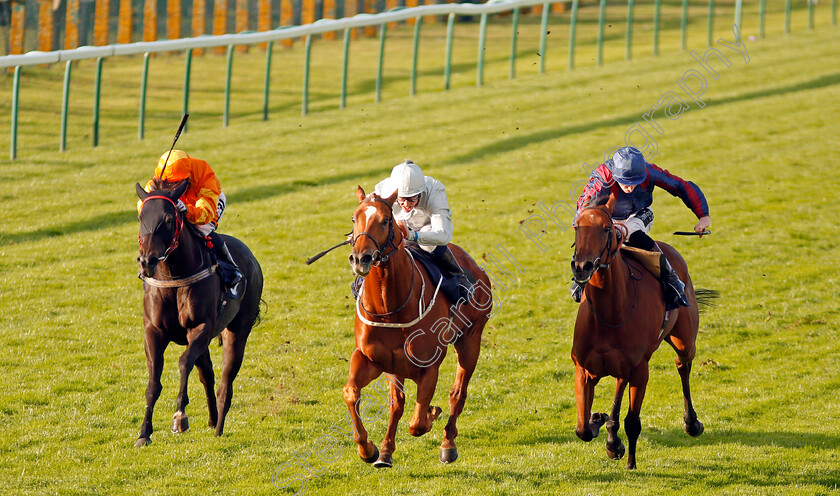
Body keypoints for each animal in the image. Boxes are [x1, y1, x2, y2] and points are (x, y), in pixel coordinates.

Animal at [135, 178, 262, 446]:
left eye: (168, 219)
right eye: (141, 217)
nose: (147, 261)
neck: (174, 276)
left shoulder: (201, 327)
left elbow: (184, 363)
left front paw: (180, 417)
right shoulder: (153, 331)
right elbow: (153, 382)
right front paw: (144, 433)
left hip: (237, 331)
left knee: (225, 383)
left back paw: (219, 428)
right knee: (208, 374)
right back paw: (212, 419)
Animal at [344, 187, 496, 468]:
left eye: (386, 220)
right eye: (354, 218)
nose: (361, 258)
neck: (390, 308)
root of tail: (475, 265)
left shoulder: (428, 367)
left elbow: (418, 423)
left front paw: (432, 413)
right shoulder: (374, 360)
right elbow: (354, 393)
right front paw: (369, 449)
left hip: (470, 341)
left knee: (458, 393)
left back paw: (448, 444)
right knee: (398, 404)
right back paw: (385, 451)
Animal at [568, 195, 712, 468]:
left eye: (606, 228)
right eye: (577, 227)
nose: (582, 266)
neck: (610, 315)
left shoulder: (639, 370)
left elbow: (632, 422)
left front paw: (628, 459)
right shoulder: (584, 371)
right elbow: (582, 429)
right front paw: (599, 421)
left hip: (684, 340)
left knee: (683, 365)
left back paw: (692, 423)